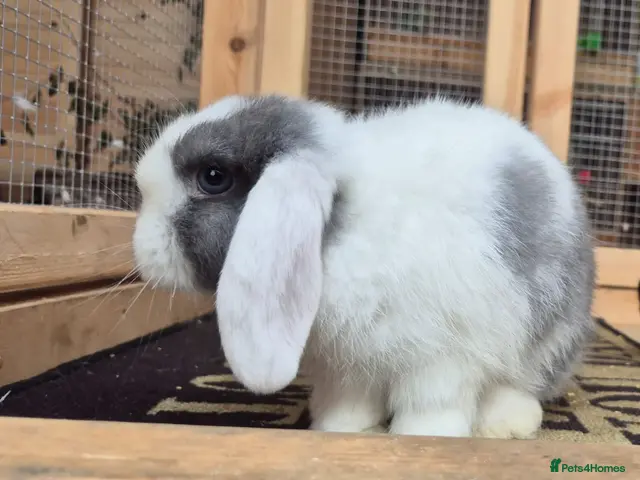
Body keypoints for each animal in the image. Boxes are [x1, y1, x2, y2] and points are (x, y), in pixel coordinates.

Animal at [132, 94, 596, 439]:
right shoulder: (348, 364)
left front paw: (423, 437)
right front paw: (339, 428)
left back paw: (506, 424)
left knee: (524, 382)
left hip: (549, 337)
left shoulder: (442, 355)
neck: (340, 230)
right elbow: (349, 398)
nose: (140, 248)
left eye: (213, 176)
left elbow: (433, 402)